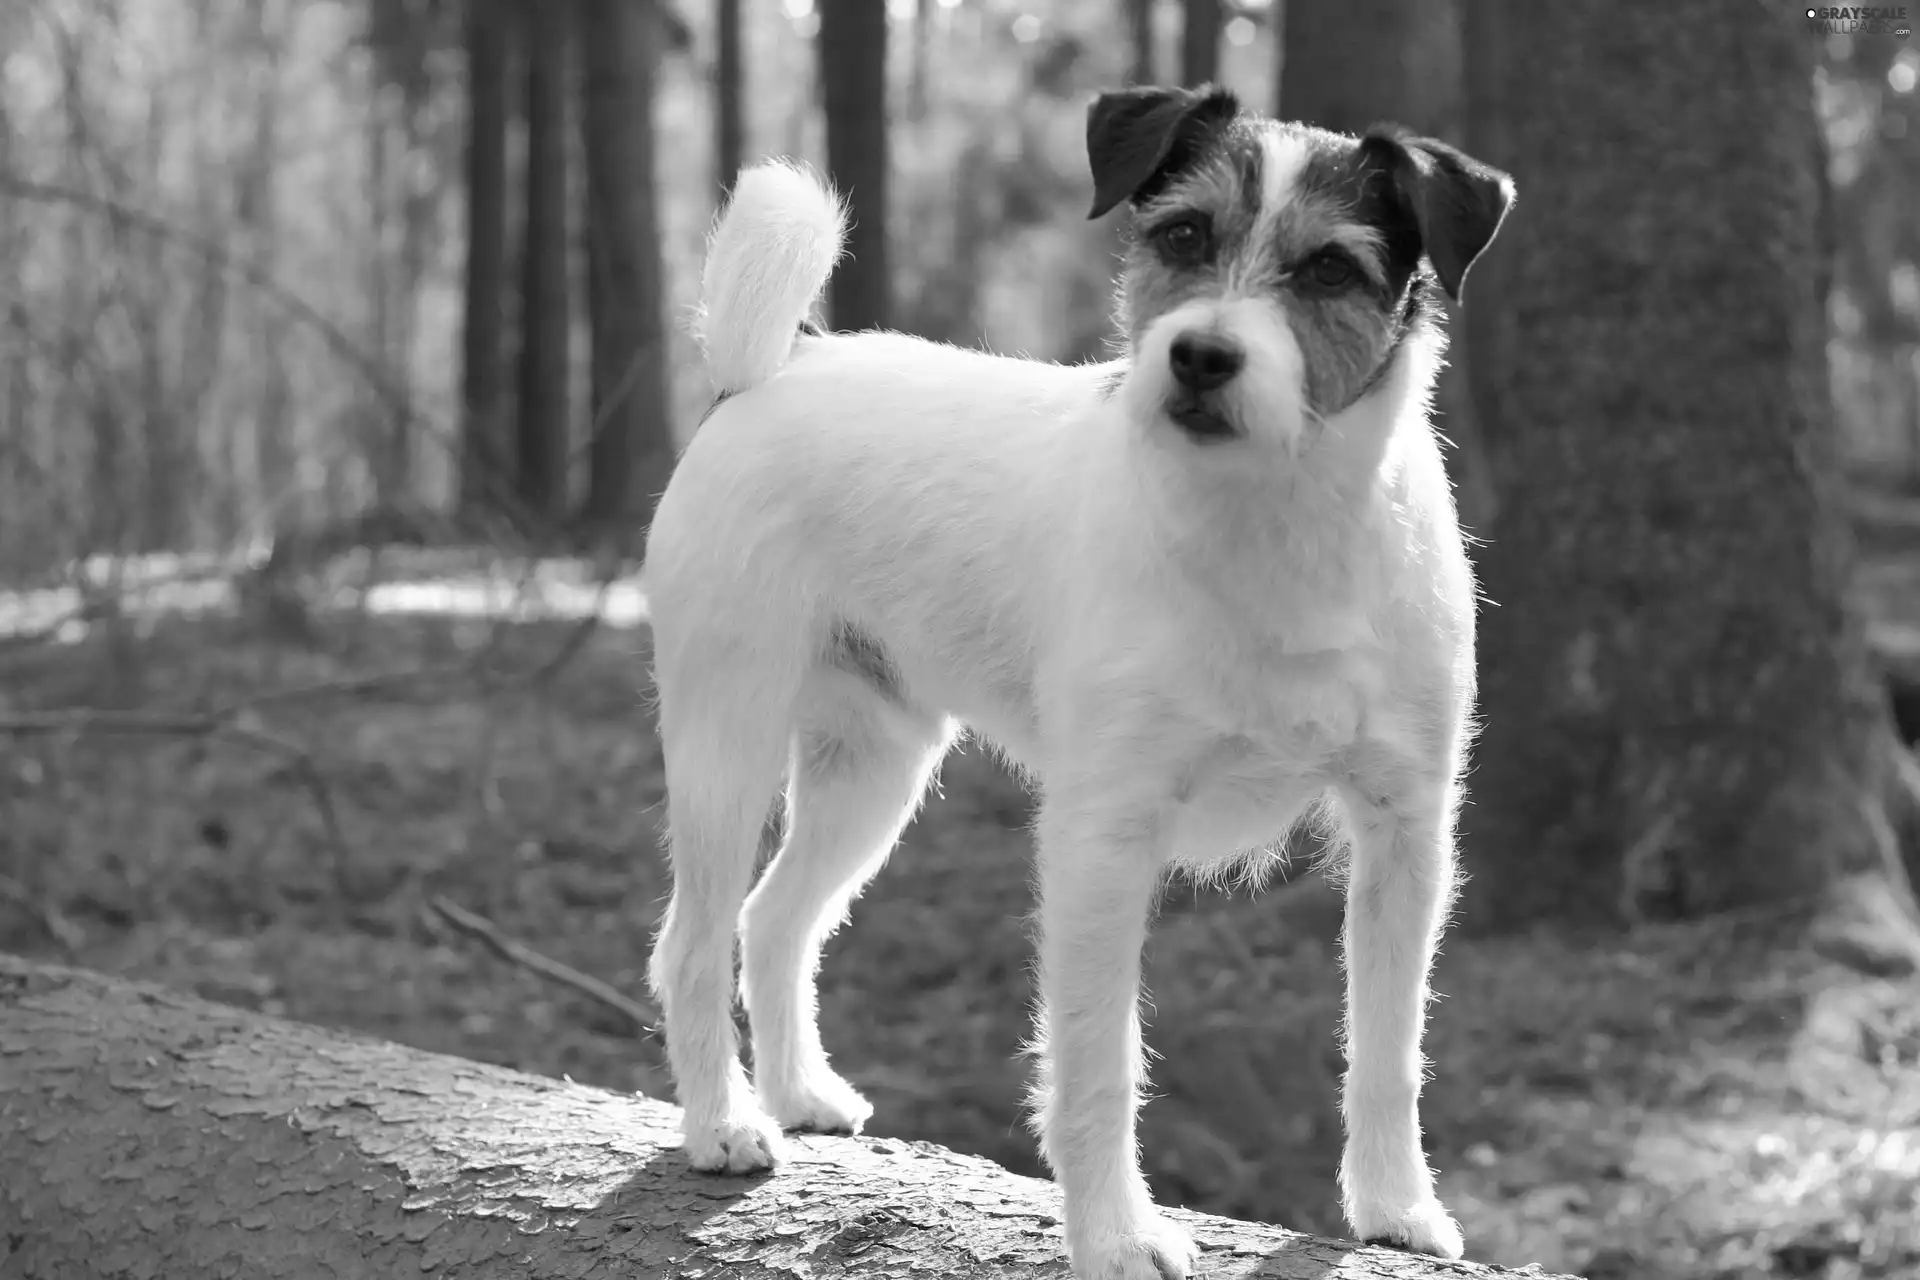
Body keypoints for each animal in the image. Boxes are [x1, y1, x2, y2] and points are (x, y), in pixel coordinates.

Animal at [645, 82, 1512, 1280]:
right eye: (1183, 235)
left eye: (1331, 268)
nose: (1200, 358)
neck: (1270, 521)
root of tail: (775, 368)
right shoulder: (1106, 833)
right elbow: (1100, 1057)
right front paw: (1115, 1232)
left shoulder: (1404, 830)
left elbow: (1388, 1047)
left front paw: (1394, 1206)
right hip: (724, 743)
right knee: (690, 941)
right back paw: (723, 1122)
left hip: (873, 766)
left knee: (775, 918)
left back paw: (799, 1091)